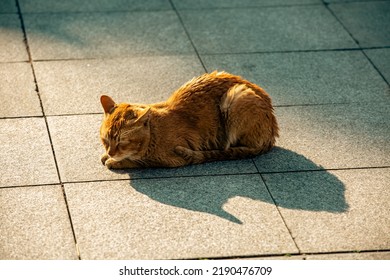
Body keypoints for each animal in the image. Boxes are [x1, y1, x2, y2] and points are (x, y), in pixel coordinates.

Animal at [100, 71, 278, 170]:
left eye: (122, 142)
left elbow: (139, 161)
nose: (111, 152)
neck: (155, 132)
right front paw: (107, 156)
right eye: (105, 140)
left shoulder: (170, 159)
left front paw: (114, 161)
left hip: (236, 97)